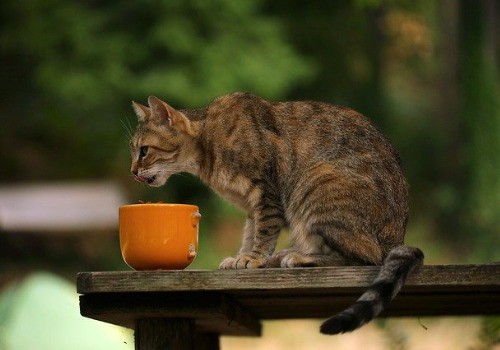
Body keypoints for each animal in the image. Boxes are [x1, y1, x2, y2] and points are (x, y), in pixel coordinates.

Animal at [130, 92, 426, 334]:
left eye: (144, 151)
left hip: (317, 183)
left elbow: (264, 232)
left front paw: (253, 258)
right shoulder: (252, 207)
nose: (132, 172)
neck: (207, 145)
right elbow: (250, 233)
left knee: (366, 257)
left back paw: (299, 258)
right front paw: (243, 257)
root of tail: (396, 239)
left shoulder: (267, 194)